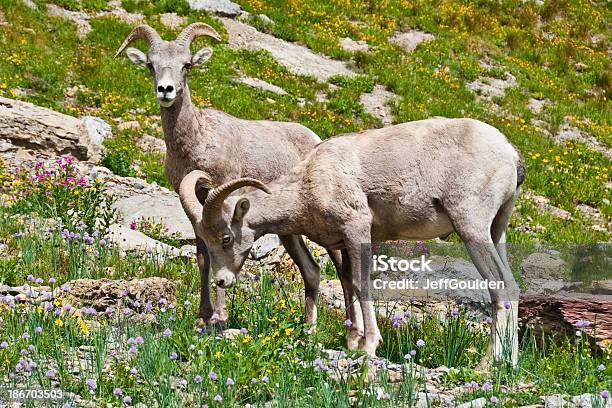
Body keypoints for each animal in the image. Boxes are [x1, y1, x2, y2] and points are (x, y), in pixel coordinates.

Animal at [116, 23, 342, 328]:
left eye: (187, 65)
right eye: (151, 65)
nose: (166, 90)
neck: (197, 141)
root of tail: (315, 139)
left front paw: (220, 315)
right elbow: (204, 257)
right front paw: (203, 317)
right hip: (288, 229)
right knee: (313, 270)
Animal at [179, 118, 524, 366]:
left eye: (226, 237)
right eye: (206, 241)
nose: (223, 280)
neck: (310, 182)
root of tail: (511, 155)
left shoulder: (357, 230)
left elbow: (361, 284)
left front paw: (369, 347)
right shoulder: (343, 243)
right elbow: (347, 284)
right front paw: (353, 342)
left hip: (472, 229)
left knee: (500, 287)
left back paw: (486, 364)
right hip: (497, 232)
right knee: (512, 286)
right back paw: (510, 364)